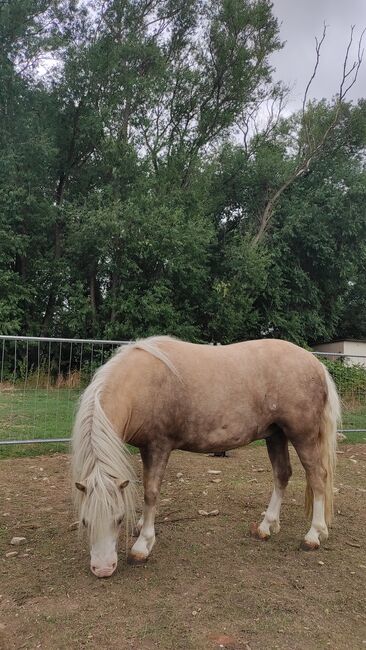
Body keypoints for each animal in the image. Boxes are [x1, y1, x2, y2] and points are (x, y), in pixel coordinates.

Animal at [71, 336, 340, 576]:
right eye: (85, 521)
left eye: (118, 519)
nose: (103, 569)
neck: (142, 383)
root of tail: (316, 364)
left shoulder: (157, 447)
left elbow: (151, 492)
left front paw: (142, 546)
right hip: (275, 435)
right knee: (282, 474)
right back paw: (266, 527)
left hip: (302, 435)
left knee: (317, 476)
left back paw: (313, 535)